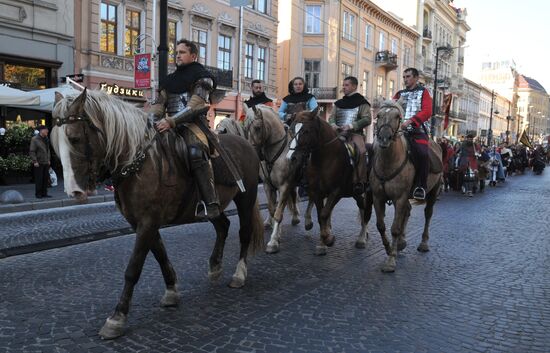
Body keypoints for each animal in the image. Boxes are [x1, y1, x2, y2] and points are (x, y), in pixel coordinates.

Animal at [50, 88, 266, 338]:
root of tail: (246, 143)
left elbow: (133, 268)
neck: (139, 162)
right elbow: (161, 255)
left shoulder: (148, 222)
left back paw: (239, 275)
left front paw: (117, 317)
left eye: (74, 138)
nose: (74, 191)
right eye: (55, 144)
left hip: (246, 198)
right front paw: (171, 292)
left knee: (244, 233)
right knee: (222, 225)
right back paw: (215, 267)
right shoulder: (141, 223)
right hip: (214, 205)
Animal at [244, 103, 304, 252]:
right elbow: (272, 209)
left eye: (257, 127)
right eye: (245, 128)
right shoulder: (268, 185)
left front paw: (273, 242)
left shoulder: (285, 186)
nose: (253, 153)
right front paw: (276, 233)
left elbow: (278, 213)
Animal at [286, 108, 374, 254]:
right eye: (292, 129)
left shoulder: (336, 192)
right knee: (362, 208)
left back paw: (361, 239)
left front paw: (328, 239)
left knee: (366, 211)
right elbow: (321, 216)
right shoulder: (317, 192)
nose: (291, 158)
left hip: (366, 191)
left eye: (306, 131)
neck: (326, 159)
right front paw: (323, 243)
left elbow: (324, 214)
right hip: (356, 193)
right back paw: (364, 233)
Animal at [370, 99, 444, 272]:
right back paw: (401, 243)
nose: (384, 138)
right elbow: (381, 226)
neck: (389, 162)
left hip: (433, 191)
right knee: (408, 211)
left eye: (397, 116)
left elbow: (395, 228)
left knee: (428, 214)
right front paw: (390, 248)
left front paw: (390, 261)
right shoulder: (378, 197)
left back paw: (423, 243)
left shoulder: (400, 197)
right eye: (378, 115)